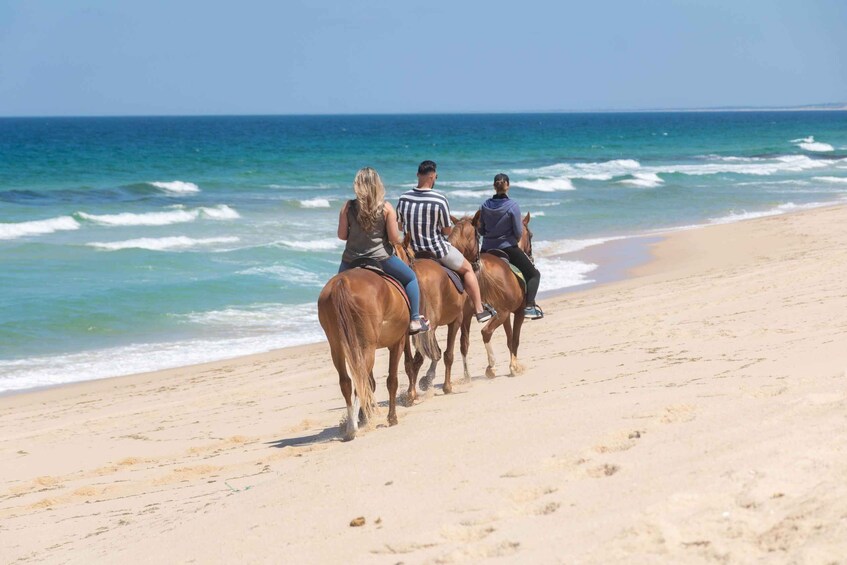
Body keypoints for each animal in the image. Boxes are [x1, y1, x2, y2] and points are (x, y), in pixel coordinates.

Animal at [316, 268, 412, 440]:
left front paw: (365, 417)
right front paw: (391, 418)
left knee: (347, 382)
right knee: (359, 382)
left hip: (338, 347)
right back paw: (353, 427)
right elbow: (391, 381)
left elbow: (371, 384)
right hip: (367, 347)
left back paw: (352, 425)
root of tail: (342, 281)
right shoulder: (397, 343)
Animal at [396, 240, 474, 398]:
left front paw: (426, 380)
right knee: (421, 358)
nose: (476, 262)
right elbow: (452, 351)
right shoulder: (458, 319)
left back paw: (411, 393)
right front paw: (447, 386)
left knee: (411, 361)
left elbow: (434, 352)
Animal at [450, 212, 536, 378]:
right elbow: (515, 339)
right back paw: (491, 367)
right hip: (500, 312)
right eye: (531, 235)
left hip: (469, 315)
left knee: (464, 343)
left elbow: (509, 339)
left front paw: (513, 364)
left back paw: (467, 376)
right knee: (486, 332)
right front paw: (514, 367)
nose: (530, 256)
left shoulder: (506, 315)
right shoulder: (517, 312)